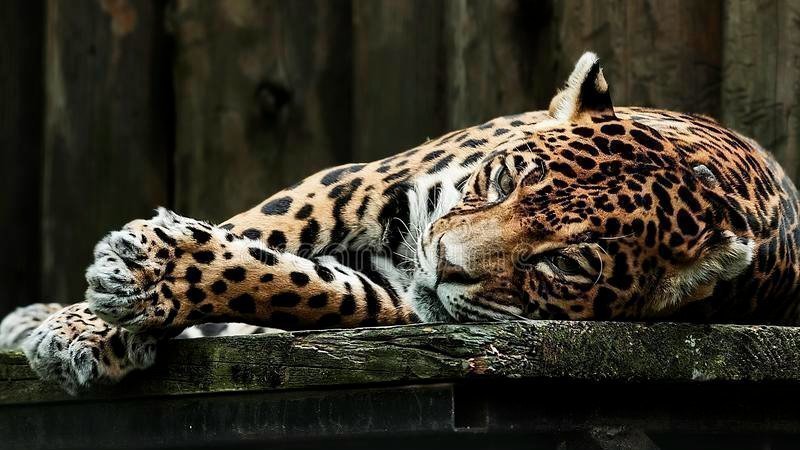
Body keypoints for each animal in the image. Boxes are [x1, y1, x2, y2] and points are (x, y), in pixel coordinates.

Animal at [3, 52, 800, 394]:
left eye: (566, 265)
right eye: (503, 180)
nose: (443, 263)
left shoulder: (403, 302)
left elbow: (295, 284)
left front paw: (151, 281)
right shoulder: (356, 186)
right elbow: (267, 231)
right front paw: (83, 326)